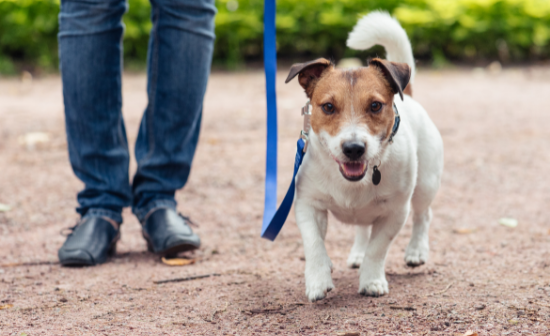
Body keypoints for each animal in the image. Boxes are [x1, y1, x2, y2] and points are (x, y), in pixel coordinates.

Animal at [286, 11, 446, 302]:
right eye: (328, 107)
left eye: (375, 105)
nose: (353, 148)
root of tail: (410, 97)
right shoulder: (308, 205)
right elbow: (314, 245)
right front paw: (318, 279)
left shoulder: (395, 212)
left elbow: (378, 249)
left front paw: (372, 281)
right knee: (362, 228)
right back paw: (358, 254)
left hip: (426, 185)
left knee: (423, 216)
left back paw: (416, 251)